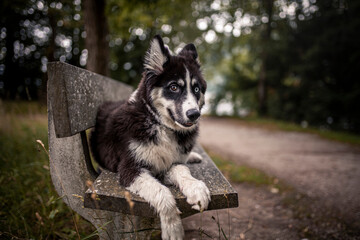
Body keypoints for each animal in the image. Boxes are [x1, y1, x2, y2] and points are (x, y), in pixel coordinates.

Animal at [90, 34, 211, 239]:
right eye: (173, 87)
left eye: (196, 89)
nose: (194, 114)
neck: (159, 124)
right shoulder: (131, 168)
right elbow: (161, 192)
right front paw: (173, 228)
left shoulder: (169, 163)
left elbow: (182, 170)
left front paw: (196, 189)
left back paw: (194, 156)